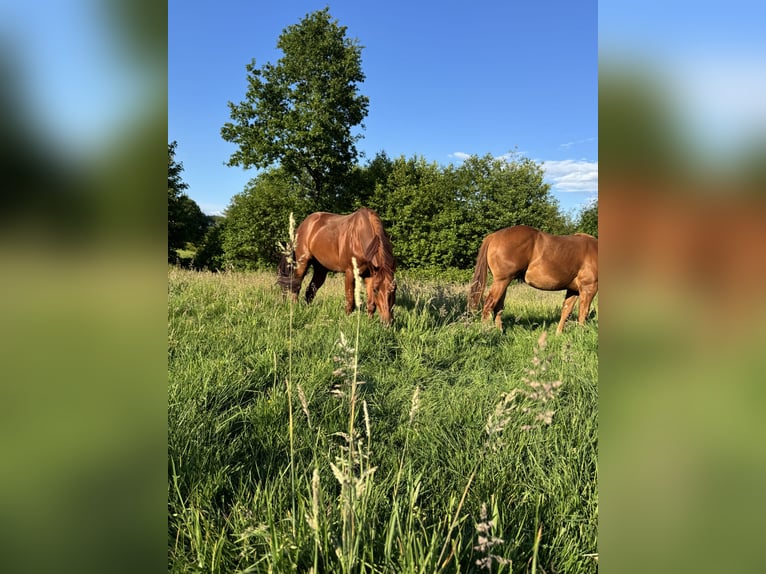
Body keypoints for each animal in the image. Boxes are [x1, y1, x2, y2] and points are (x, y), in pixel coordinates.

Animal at [468, 225, 598, 333]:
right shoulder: (589, 288)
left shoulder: (573, 290)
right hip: (502, 281)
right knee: (488, 305)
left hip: (503, 283)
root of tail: (493, 236)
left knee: (498, 308)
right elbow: (583, 312)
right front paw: (580, 335)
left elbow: (566, 311)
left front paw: (558, 334)